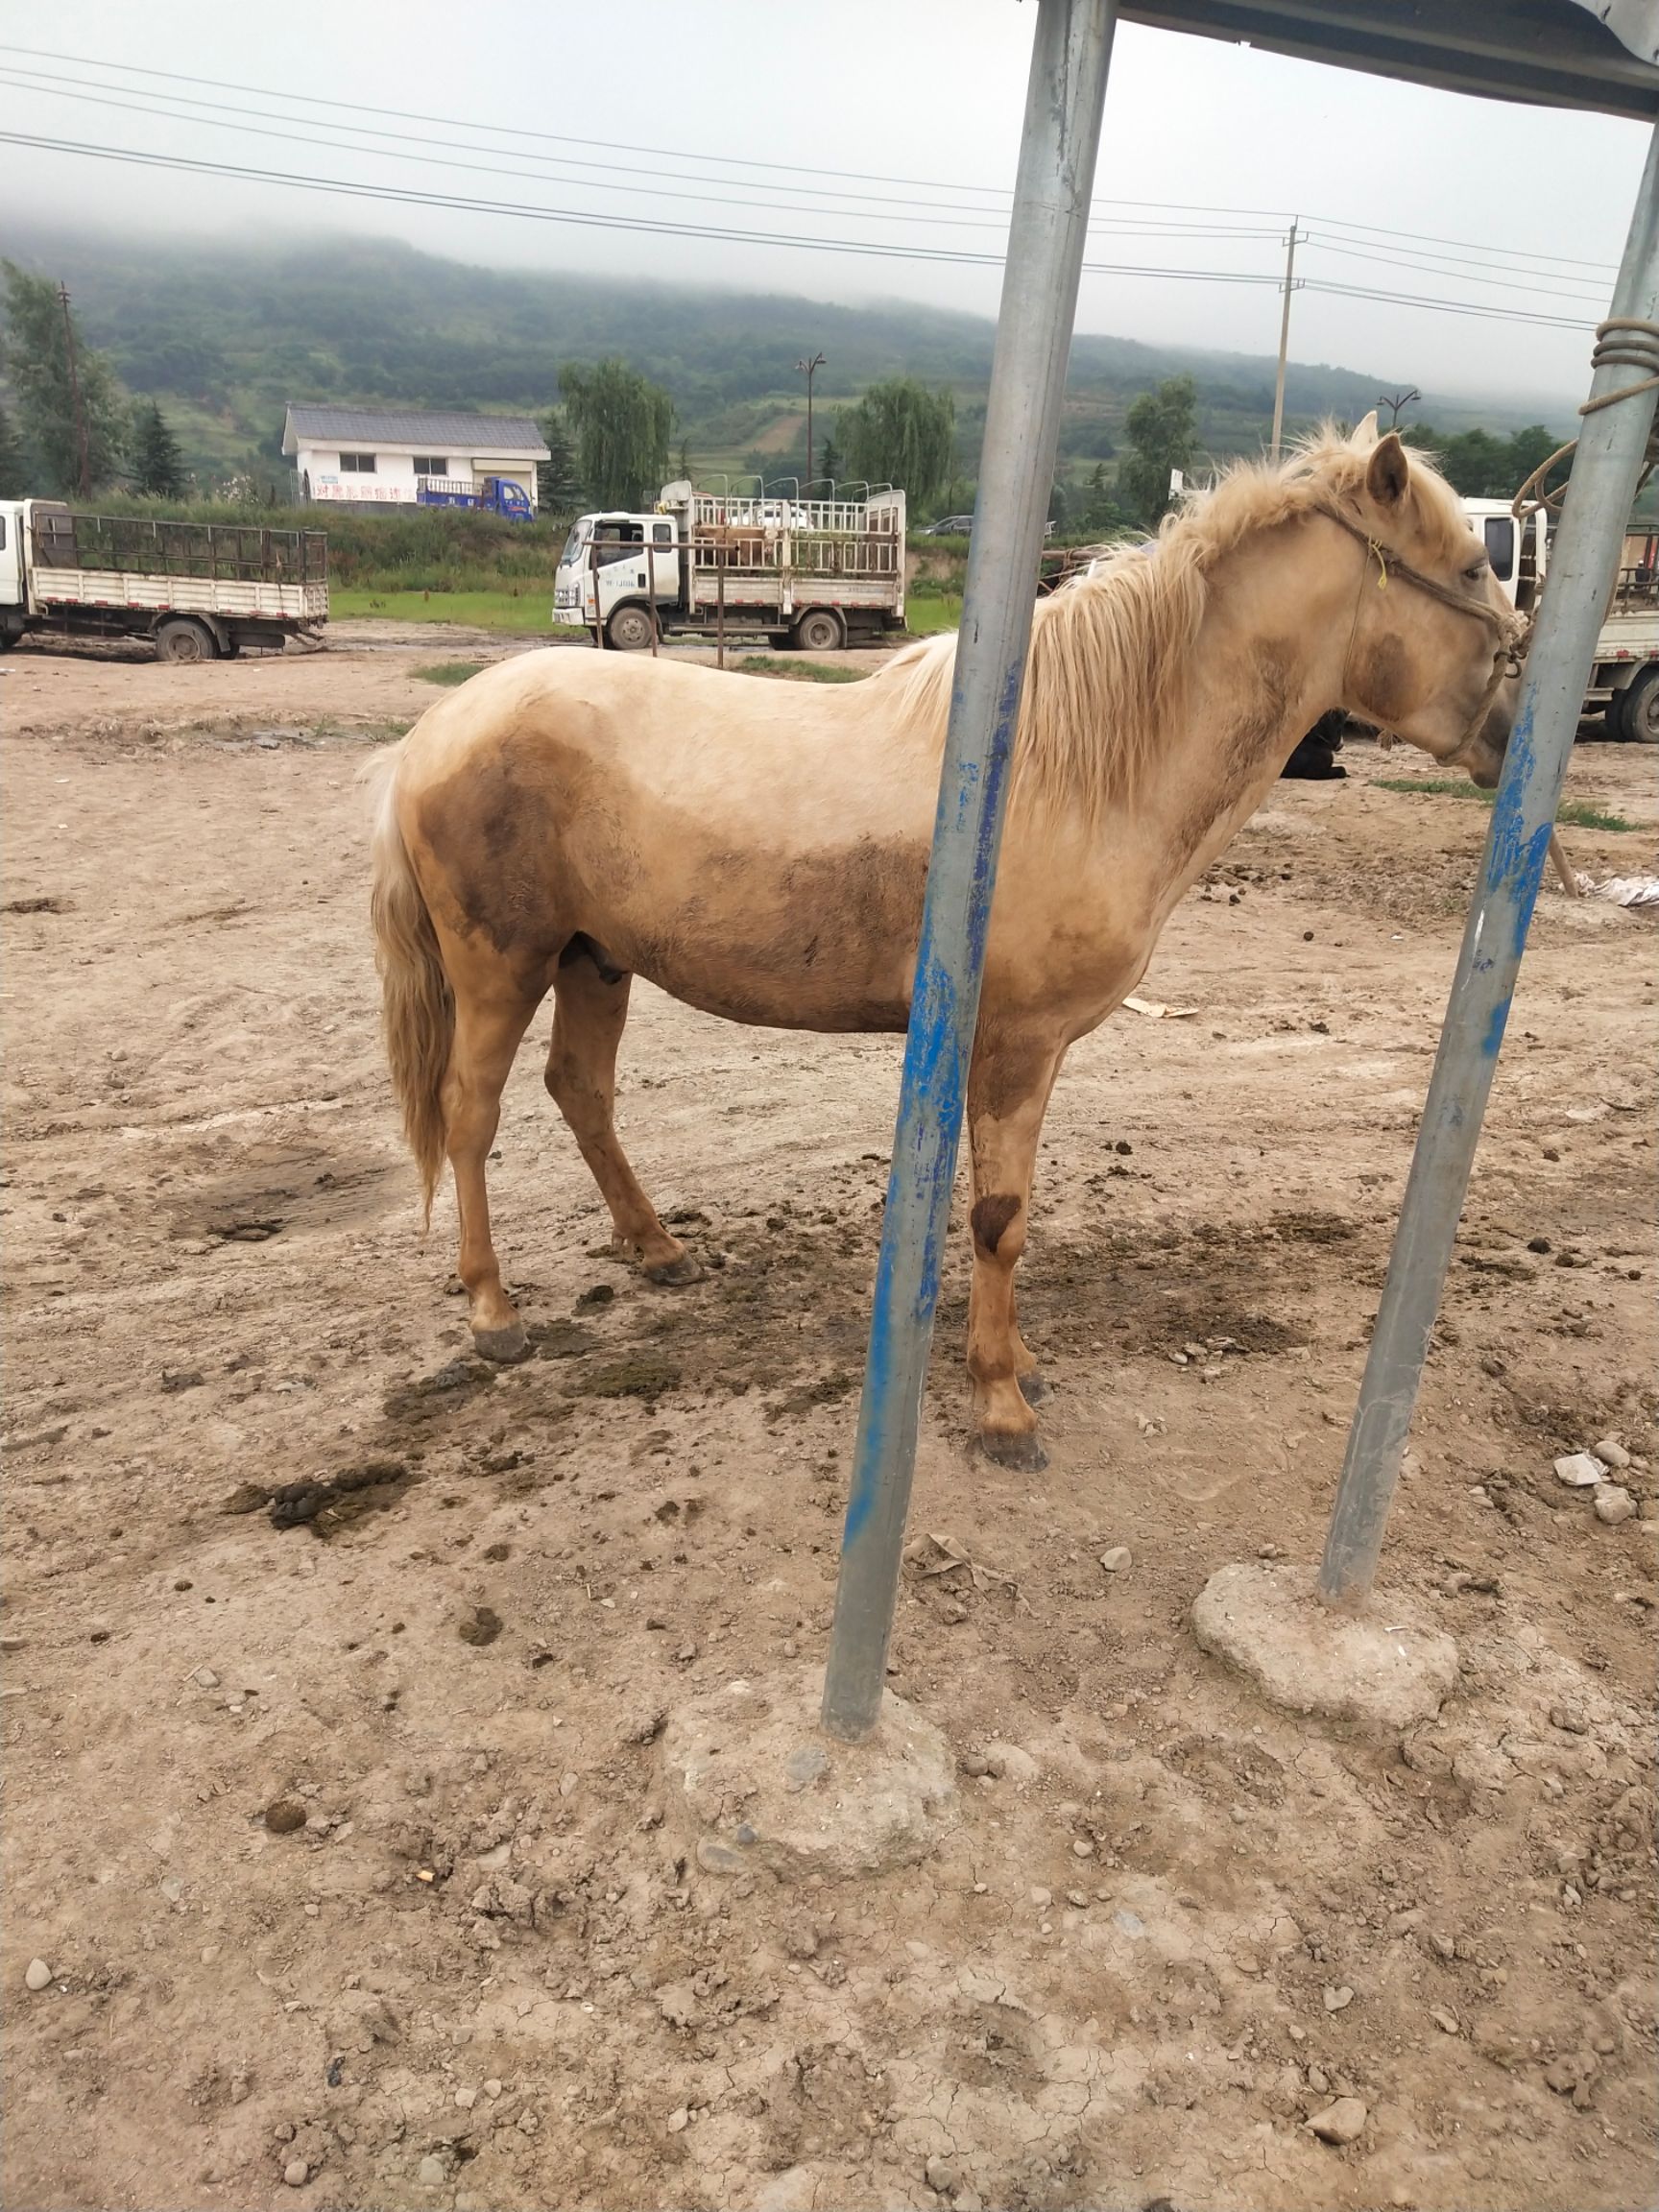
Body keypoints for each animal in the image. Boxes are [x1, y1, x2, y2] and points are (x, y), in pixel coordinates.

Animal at [368, 421, 1523, 1468]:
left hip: (593, 959)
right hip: (503, 967)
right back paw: (494, 1312)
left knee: (582, 1093)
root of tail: (437, 734)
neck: (1074, 763)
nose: (1518, 733)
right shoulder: (1014, 1043)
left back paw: (657, 1249)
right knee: (471, 1117)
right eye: (1473, 566)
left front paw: (1014, 1365)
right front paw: (1002, 1405)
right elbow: (1001, 1218)